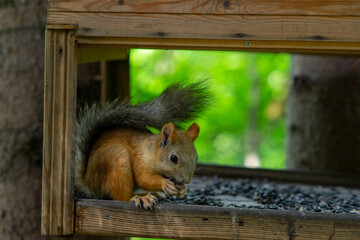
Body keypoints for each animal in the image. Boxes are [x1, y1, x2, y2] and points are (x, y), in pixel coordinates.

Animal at [76, 81, 211, 209]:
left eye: (196, 157)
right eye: (174, 158)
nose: (187, 180)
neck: (151, 151)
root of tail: (88, 181)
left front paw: (183, 189)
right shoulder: (140, 161)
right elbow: (143, 178)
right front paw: (165, 184)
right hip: (117, 159)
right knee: (122, 197)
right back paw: (140, 198)